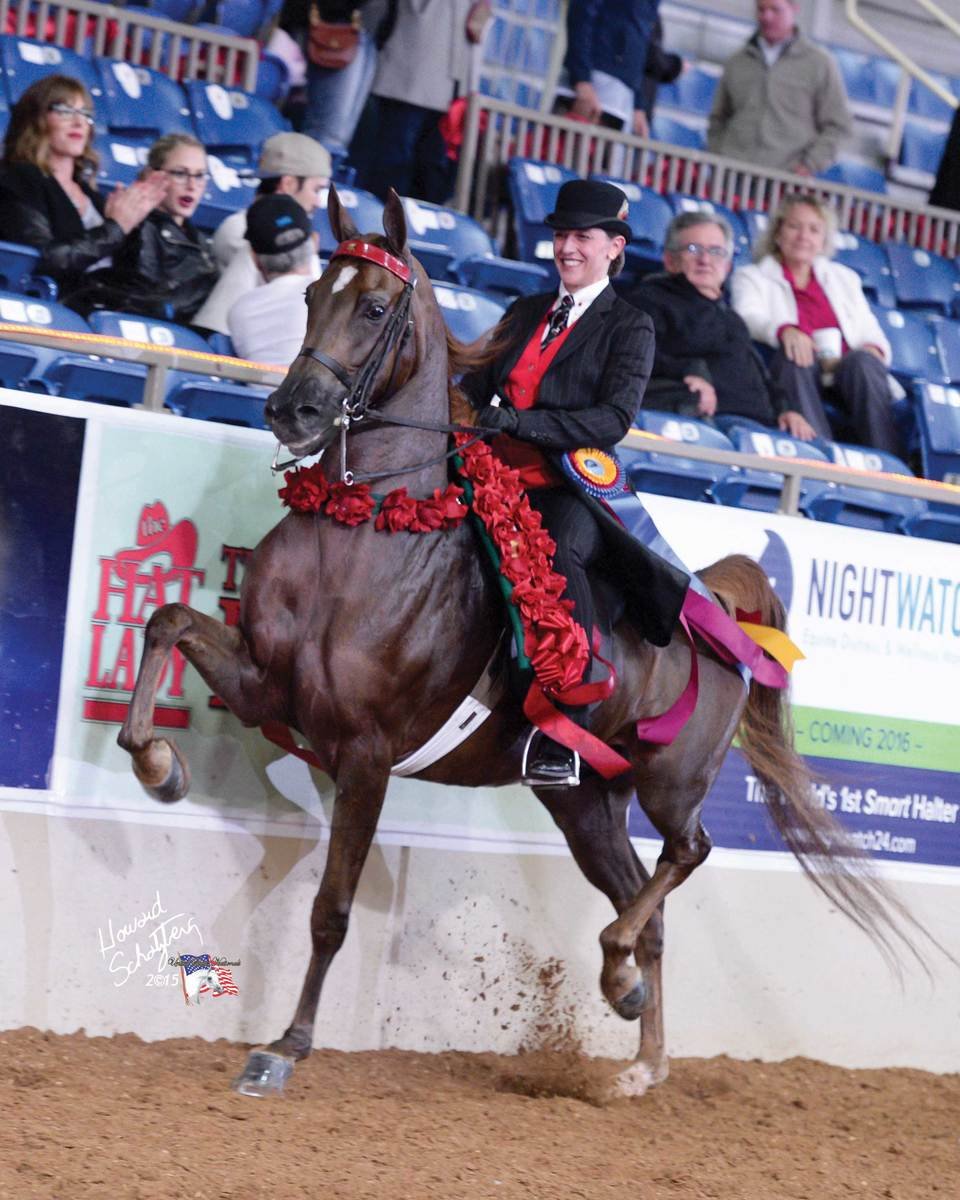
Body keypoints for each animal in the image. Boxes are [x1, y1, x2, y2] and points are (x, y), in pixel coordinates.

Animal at [119, 186, 922, 1098]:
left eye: (374, 307)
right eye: (310, 295)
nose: (294, 410)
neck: (364, 531)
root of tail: (715, 609)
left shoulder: (364, 752)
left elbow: (331, 909)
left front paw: (284, 1046)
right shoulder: (265, 685)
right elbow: (166, 622)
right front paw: (160, 767)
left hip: (670, 783)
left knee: (686, 854)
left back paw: (620, 981)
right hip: (583, 801)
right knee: (645, 905)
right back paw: (638, 1055)